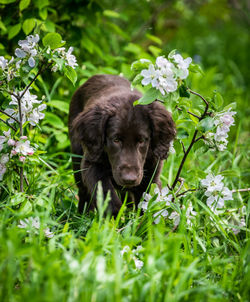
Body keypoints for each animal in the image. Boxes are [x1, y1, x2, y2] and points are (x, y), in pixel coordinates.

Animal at [67, 74, 175, 215]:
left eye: (141, 140)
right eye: (116, 140)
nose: (129, 179)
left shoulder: (152, 171)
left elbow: (147, 202)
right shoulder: (91, 164)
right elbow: (105, 192)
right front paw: (115, 217)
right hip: (77, 155)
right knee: (83, 190)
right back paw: (83, 214)